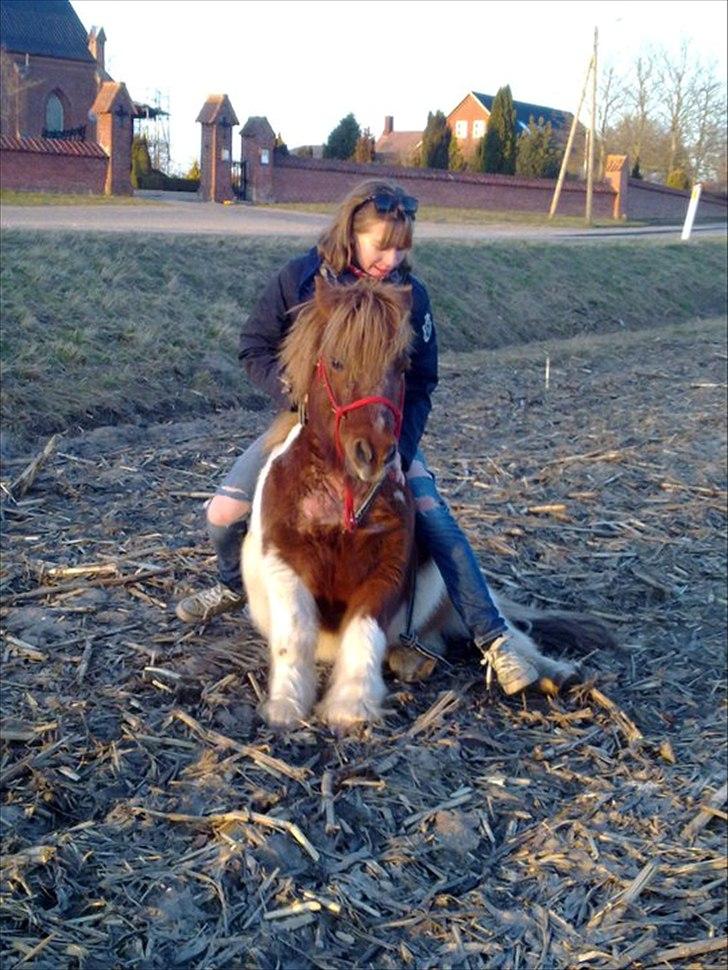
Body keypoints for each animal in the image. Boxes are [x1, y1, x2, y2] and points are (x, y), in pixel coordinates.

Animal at [243, 276, 608, 728]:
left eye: (402, 366)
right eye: (336, 361)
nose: (374, 454)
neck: (344, 499)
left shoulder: (387, 572)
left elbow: (364, 631)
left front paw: (351, 705)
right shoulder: (285, 564)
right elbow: (294, 634)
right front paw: (286, 705)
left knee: (503, 628)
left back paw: (546, 671)